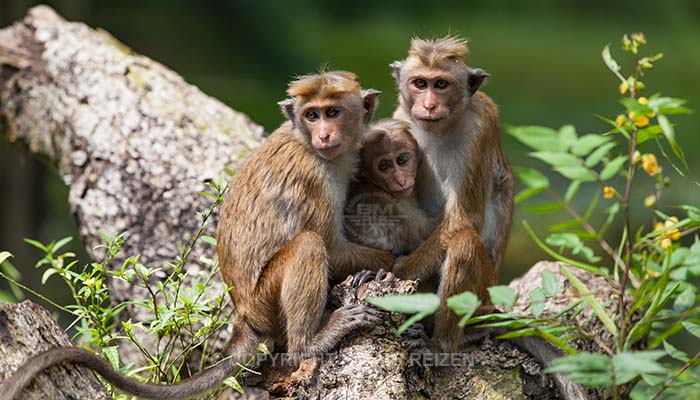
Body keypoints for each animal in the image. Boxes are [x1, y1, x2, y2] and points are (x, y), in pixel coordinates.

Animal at [1, 71, 394, 400]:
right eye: (312, 116)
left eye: (333, 112)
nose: (324, 134)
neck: (308, 145)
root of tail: (246, 316)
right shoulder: (315, 176)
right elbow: (331, 247)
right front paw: (387, 262)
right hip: (266, 300)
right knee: (308, 245)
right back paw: (308, 344)